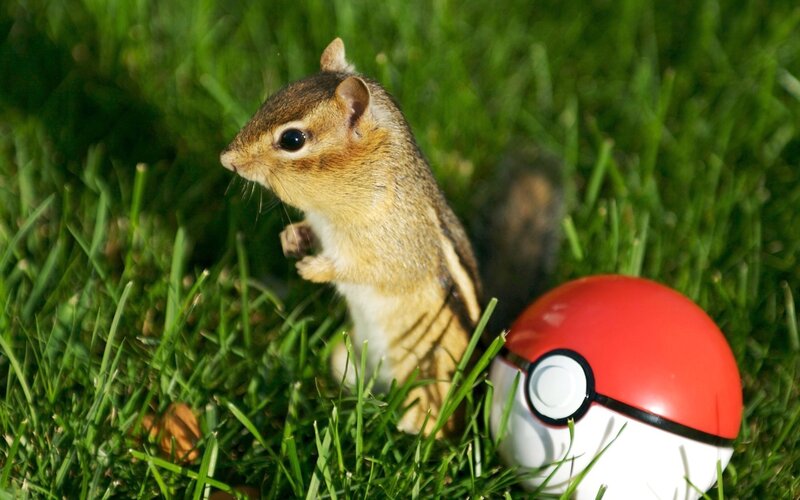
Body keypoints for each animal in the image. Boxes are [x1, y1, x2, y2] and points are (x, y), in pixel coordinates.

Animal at [220, 38, 560, 437]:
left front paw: (316, 270)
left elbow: (373, 270)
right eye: (271, 99)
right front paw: (292, 238)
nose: (226, 159)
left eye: (292, 139)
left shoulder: (397, 247)